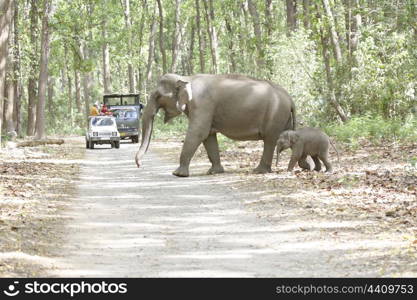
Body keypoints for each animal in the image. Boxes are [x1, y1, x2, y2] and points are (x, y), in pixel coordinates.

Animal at [135, 74, 294, 177]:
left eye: (158, 96)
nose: (139, 165)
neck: (187, 78)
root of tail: (290, 98)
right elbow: (209, 136)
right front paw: (214, 172)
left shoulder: (202, 104)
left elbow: (198, 132)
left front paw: (178, 174)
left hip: (276, 115)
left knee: (269, 140)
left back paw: (259, 171)